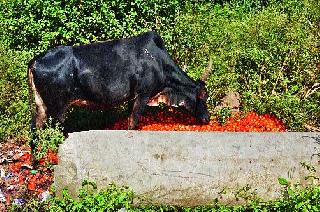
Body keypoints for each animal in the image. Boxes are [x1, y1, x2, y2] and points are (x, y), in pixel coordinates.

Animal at [27, 31, 211, 131]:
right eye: (203, 96)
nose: (207, 118)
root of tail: (35, 60)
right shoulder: (143, 94)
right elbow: (134, 122)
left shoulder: (132, 97)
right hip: (57, 109)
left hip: (41, 106)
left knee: (35, 129)